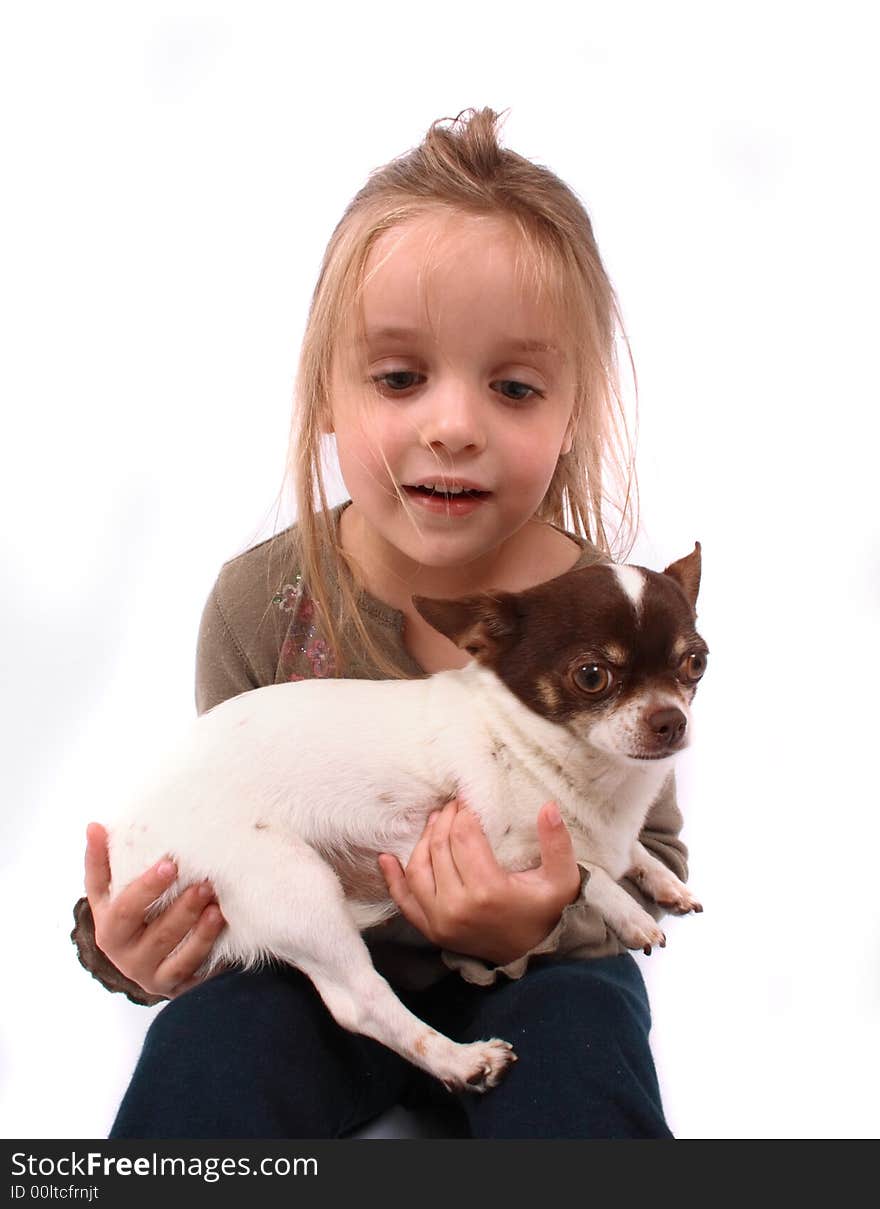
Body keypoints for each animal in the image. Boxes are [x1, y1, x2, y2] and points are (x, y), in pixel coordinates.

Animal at [104, 548, 705, 1097]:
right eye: (591, 676)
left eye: (695, 663)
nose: (671, 721)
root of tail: (125, 845)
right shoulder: (497, 852)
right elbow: (588, 870)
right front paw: (631, 914)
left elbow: (631, 852)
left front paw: (665, 883)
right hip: (294, 887)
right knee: (362, 1003)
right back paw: (462, 1061)